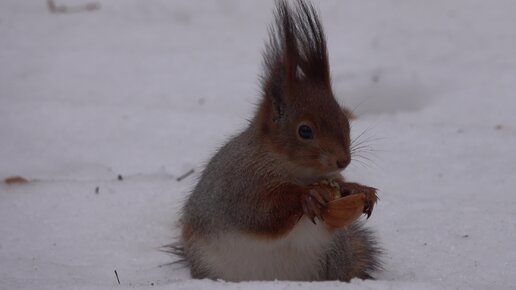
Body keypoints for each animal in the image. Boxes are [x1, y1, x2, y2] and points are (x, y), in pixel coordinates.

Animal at [175, 0, 380, 280]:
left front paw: (359, 189)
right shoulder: (239, 185)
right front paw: (308, 195)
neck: (295, 170)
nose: (343, 161)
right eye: (305, 131)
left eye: (345, 121)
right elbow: (261, 213)